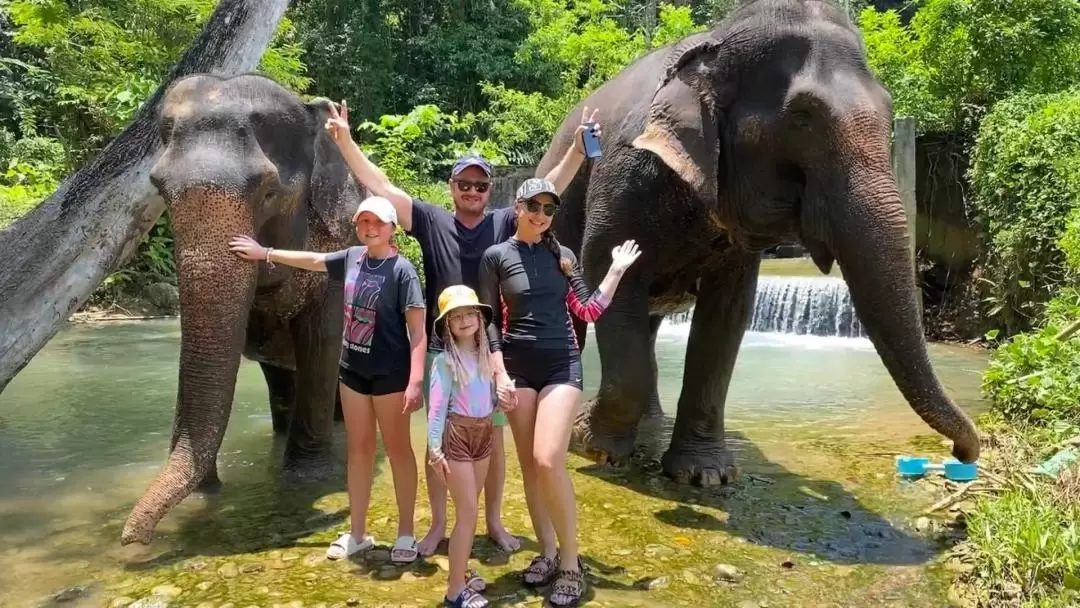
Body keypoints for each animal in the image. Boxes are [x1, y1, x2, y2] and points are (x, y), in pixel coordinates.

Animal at [120, 73, 360, 544]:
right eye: (159, 188)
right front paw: (204, 494)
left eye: (269, 192)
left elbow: (321, 341)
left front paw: (305, 481)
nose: (132, 539)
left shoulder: (338, 241)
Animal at [535, 0, 984, 485]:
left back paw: (650, 425)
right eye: (802, 118)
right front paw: (589, 444)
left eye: (889, 110)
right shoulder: (625, 175)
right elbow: (605, 271)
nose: (961, 453)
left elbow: (727, 315)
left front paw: (704, 475)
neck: (713, 43)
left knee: (649, 323)